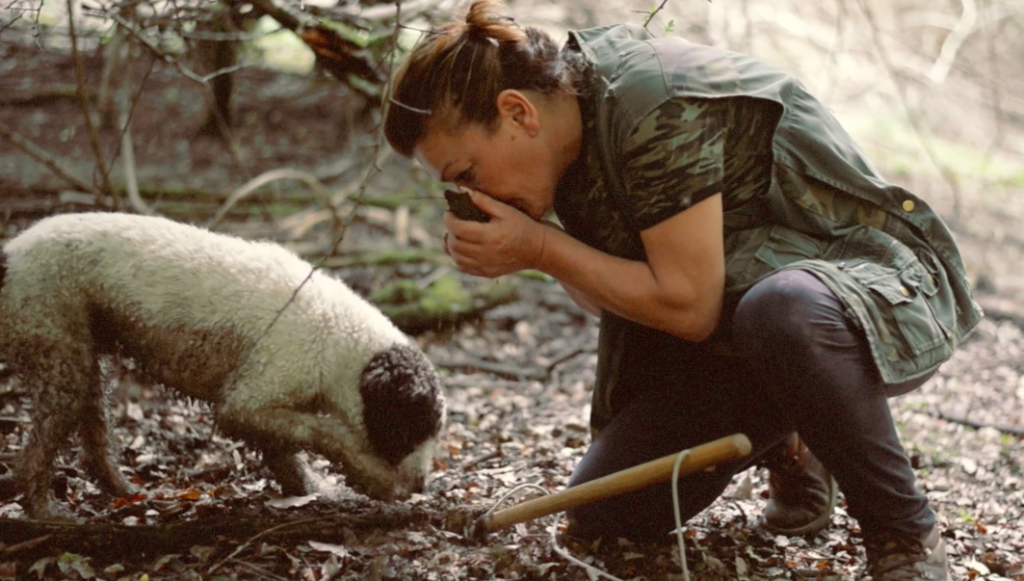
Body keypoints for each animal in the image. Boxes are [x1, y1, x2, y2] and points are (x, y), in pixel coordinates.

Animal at [1, 211, 448, 520]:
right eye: (408, 430)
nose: (421, 484)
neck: (342, 341)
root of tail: (9, 255)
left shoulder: (266, 407)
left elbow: (286, 452)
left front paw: (310, 488)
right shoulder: (250, 400)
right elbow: (324, 431)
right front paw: (372, 478)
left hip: (83, 350)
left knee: (93, 432)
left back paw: (122, 489)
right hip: (57, 344)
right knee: (38, 450)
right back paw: (45, 510)